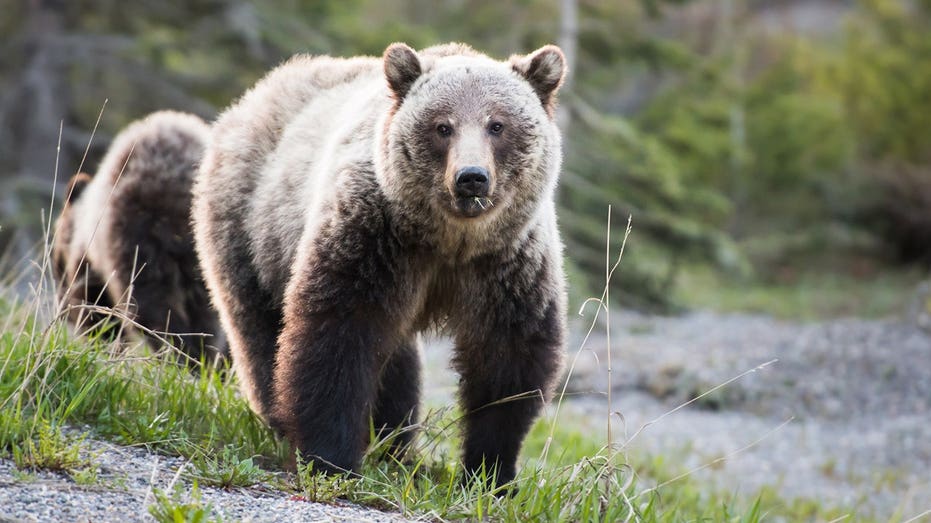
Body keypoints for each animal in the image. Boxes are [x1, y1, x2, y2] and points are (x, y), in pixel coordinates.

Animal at [52, 110, 226, 368]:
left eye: (56, 262)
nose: (63, 310)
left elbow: (95, 305)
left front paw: (101, 342)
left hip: (139, 234)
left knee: (152, 306)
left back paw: (178, 357)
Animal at [192, 42, 567, 486]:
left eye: (497, 125)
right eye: (443, 126)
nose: (471, 177)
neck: (450, 241)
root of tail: (255, 94)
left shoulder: (508, 263)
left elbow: (508, 360)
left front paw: (491, 473)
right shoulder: (374, 235)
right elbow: (339, 332)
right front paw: (330, 457)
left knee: (397, 363)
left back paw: (394, 444)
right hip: (248, 223)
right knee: (258, 328)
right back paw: (284, 422)